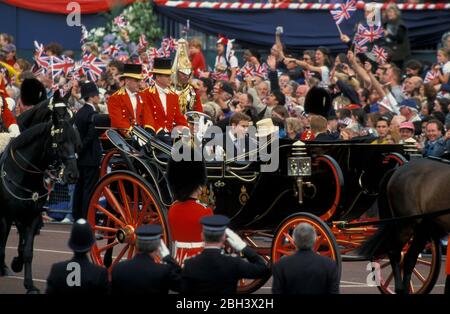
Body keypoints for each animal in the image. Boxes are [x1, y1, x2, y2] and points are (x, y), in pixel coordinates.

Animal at [0, 100, 80, 292]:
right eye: (60, 141)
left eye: (74, 141)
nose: (72, 175)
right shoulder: (7, 215)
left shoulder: (32, 215)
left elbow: (27, 250)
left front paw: (29, 283)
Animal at [358, 158, 450, 294]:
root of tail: (399, 169)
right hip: (406, 225)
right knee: (396, 253)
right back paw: (400, 289)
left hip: (423, 229)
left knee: (409, 258)